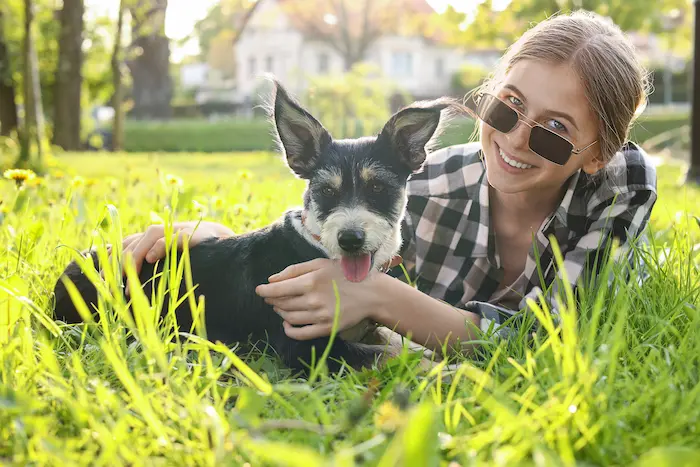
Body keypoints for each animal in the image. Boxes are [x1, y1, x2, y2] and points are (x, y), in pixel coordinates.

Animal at [53, 80, 460, 376]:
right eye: (326, 192)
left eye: (379, 189)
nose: (350, 239)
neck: (316, 248)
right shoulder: (303, 348)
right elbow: (387, 355)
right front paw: (452, 371)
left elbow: (395, 342)